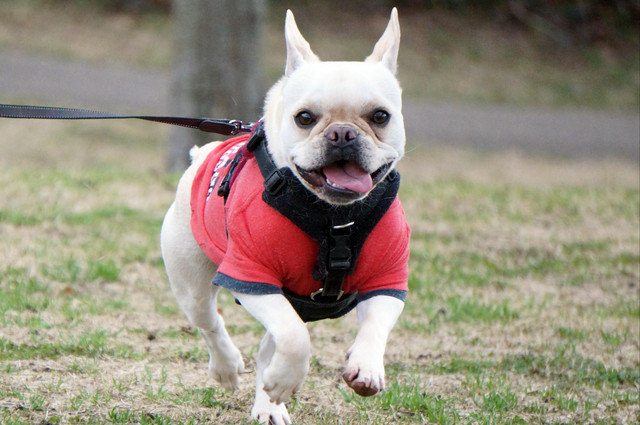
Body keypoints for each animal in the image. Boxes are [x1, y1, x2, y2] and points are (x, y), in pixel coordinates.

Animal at [161, 8, 409, 424]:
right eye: (304, 118)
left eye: (380, 116)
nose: (342, 134)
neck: (332, 216)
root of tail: (201, 156)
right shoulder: (251, 275)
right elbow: (294, 336)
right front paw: (283, 379)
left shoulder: (388, 276)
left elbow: (377, 322)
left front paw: (367, 367)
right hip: (190, 279)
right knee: (211, 322)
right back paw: (228, 368)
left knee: (268, 346)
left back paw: (269, 404)